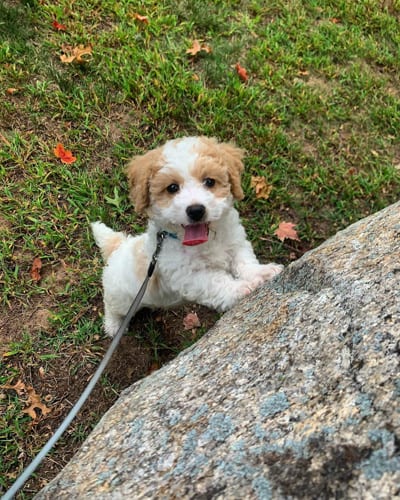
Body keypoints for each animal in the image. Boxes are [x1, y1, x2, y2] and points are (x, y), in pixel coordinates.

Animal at [92, 138, 282, 336]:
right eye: (172, 187)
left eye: (209, 181)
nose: (196, 210)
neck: (206, 241)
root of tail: (119, 246)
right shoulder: (187, 275)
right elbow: (215, 282)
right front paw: (240, 288)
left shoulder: (236, 244)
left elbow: (245, 263)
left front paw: (263, 272)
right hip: (121, 297)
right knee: (111, 307)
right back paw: (113, 326)